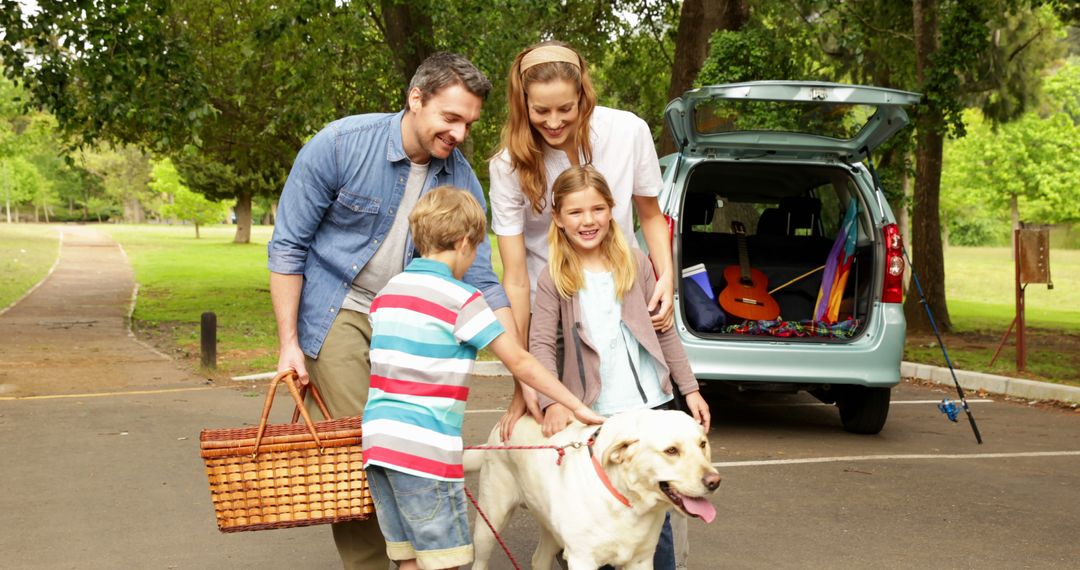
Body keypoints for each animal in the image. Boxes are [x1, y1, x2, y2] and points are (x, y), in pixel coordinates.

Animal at [468, 408, 721, 565]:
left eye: (702, 444)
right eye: (671, 450)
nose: (714, 482)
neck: (627, 503)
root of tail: (506, 419)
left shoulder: (641, 559)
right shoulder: (582, 558)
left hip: (550, 526)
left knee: (539, 559)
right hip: (490, 521)